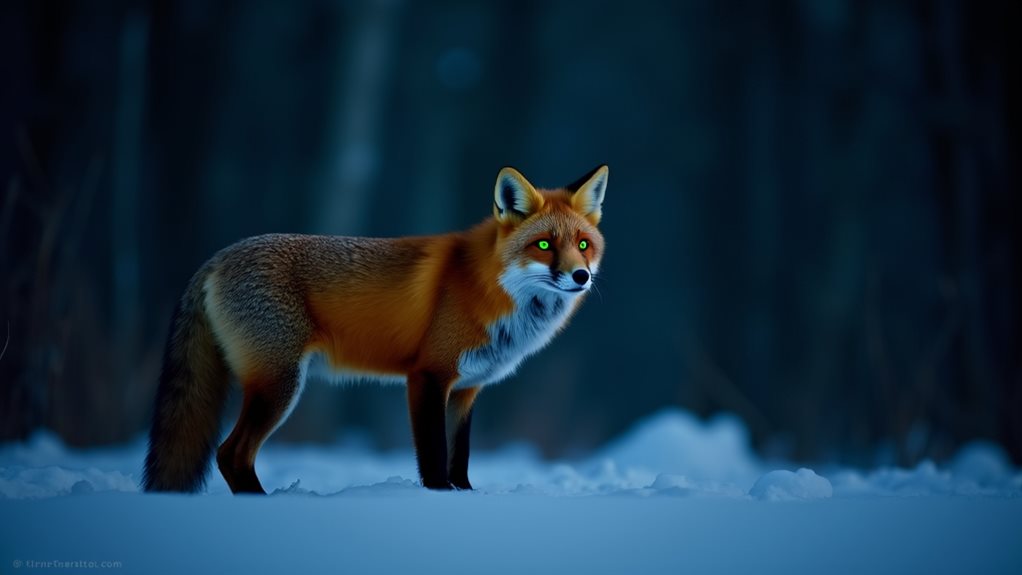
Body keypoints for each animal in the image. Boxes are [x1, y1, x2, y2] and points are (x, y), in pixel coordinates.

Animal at [141, 165, 607, 493]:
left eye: (583, 245)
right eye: (543, 245)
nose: (581, 276)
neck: (491, 290)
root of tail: (216, 258)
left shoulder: (466, 389)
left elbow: (460, 461)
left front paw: (465, 497)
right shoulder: (428, 376)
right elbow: (434, 459)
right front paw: (440, 498)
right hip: (279, 384)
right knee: (231, 455)